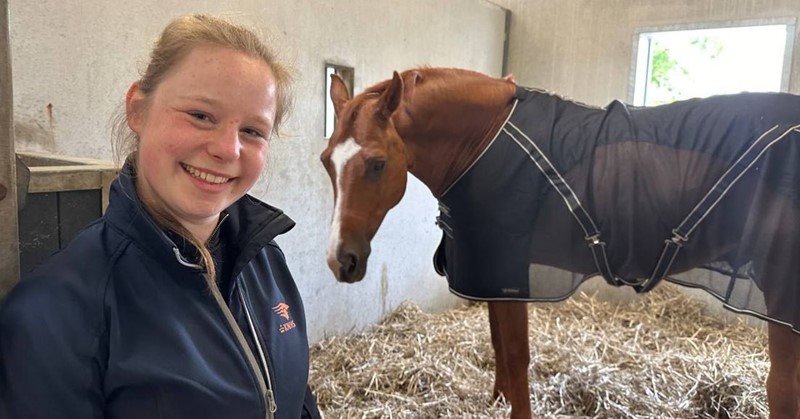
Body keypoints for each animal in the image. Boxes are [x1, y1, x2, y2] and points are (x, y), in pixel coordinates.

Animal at [318, 67, 800, 418]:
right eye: (326, 161)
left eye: (377, 164)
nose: (341, 261)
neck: (482, 143)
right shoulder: (493, 275)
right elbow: (498, 345)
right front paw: (497, 402)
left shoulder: (509, 275)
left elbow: (515, 354)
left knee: (781, 387)